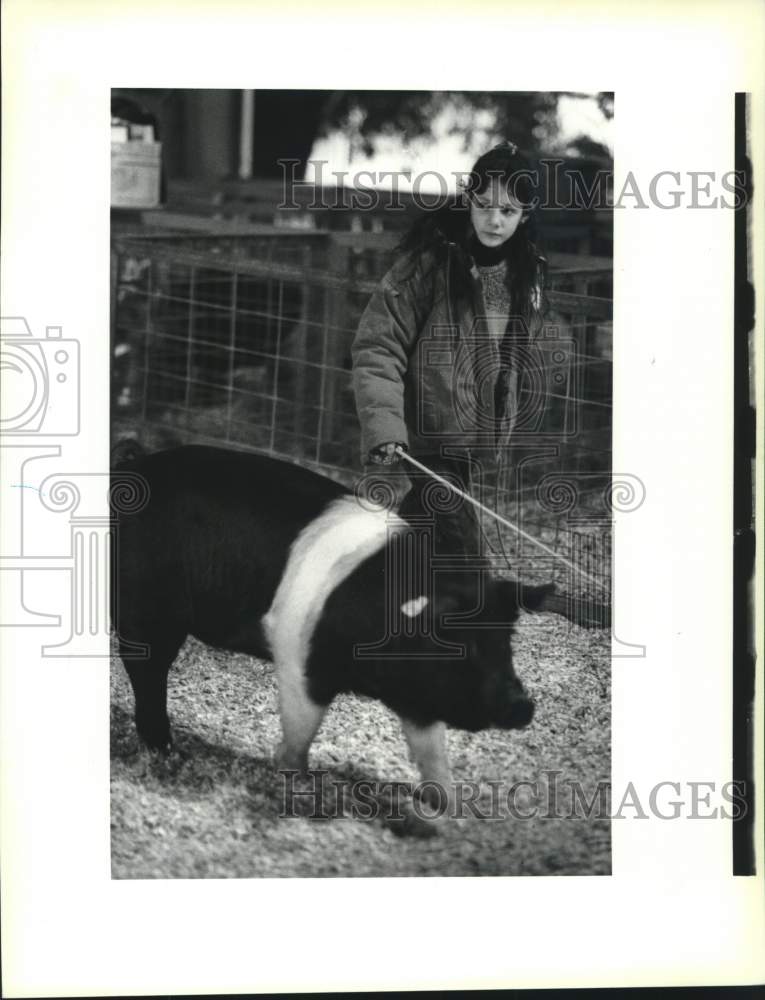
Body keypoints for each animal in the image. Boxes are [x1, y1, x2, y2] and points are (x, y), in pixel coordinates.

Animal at [109, 446, 548, 820]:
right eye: (462, 646)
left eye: (505, 643)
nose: (522, 706)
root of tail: (130, 469)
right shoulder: (299, 657)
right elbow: (302, 730)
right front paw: (299, 787)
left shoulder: (416, 693)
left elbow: (431, 750)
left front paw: (453, 809)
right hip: (146, 605)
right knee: (147, 669)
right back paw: (165, 750)